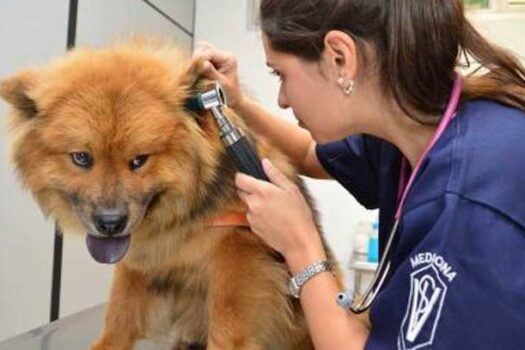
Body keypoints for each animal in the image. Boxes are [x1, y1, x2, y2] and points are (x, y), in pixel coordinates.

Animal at [0, 39, 340, 350]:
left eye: (139, 160)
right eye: (82, 158)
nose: (110, 223)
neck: (181, 219)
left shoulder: (238, 253)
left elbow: (227, 324)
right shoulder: (138, 260)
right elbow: (120, 315)